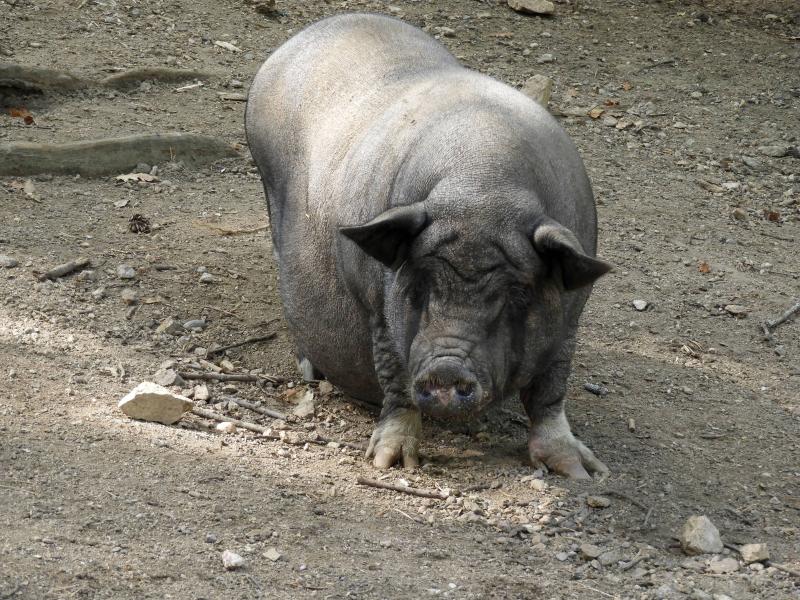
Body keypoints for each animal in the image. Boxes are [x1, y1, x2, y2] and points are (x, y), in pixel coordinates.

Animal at [245, 14, 612, 478]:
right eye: (419, 283)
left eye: (518, 294)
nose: (447, 367)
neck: (481, 186)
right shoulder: (378, 307)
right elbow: (397, 379)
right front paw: (387, 462)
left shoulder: (573, 315)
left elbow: (550, 390)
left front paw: (582, 473)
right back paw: (312, 372)